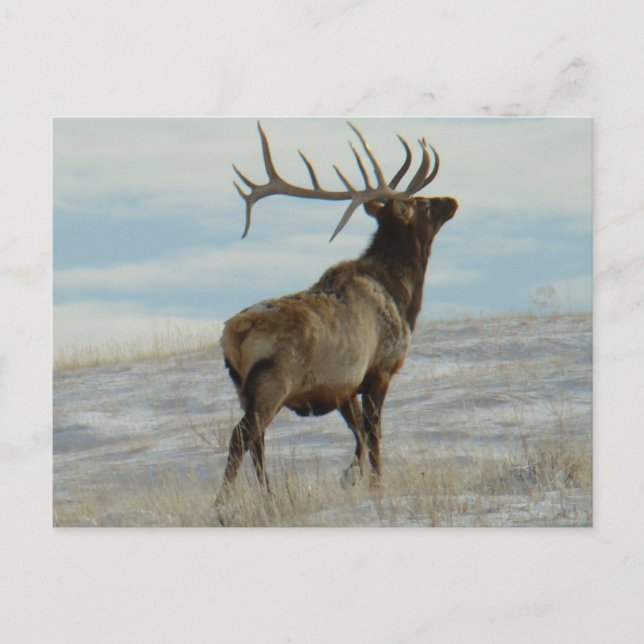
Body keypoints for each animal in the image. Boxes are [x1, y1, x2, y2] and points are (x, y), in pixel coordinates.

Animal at [216, 121, 458, 504]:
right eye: (421, 203)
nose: (451, 201)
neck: (402, 296)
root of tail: (236, 332)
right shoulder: (379, 368)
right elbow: (373, 433)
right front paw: (374, 482)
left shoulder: (343, 385)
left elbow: (357, 433)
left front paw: (350, 476)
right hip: (274, 380)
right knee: (243, 435)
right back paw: (223, 502)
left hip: (243, 387)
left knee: (257, 440)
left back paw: (268, 495)